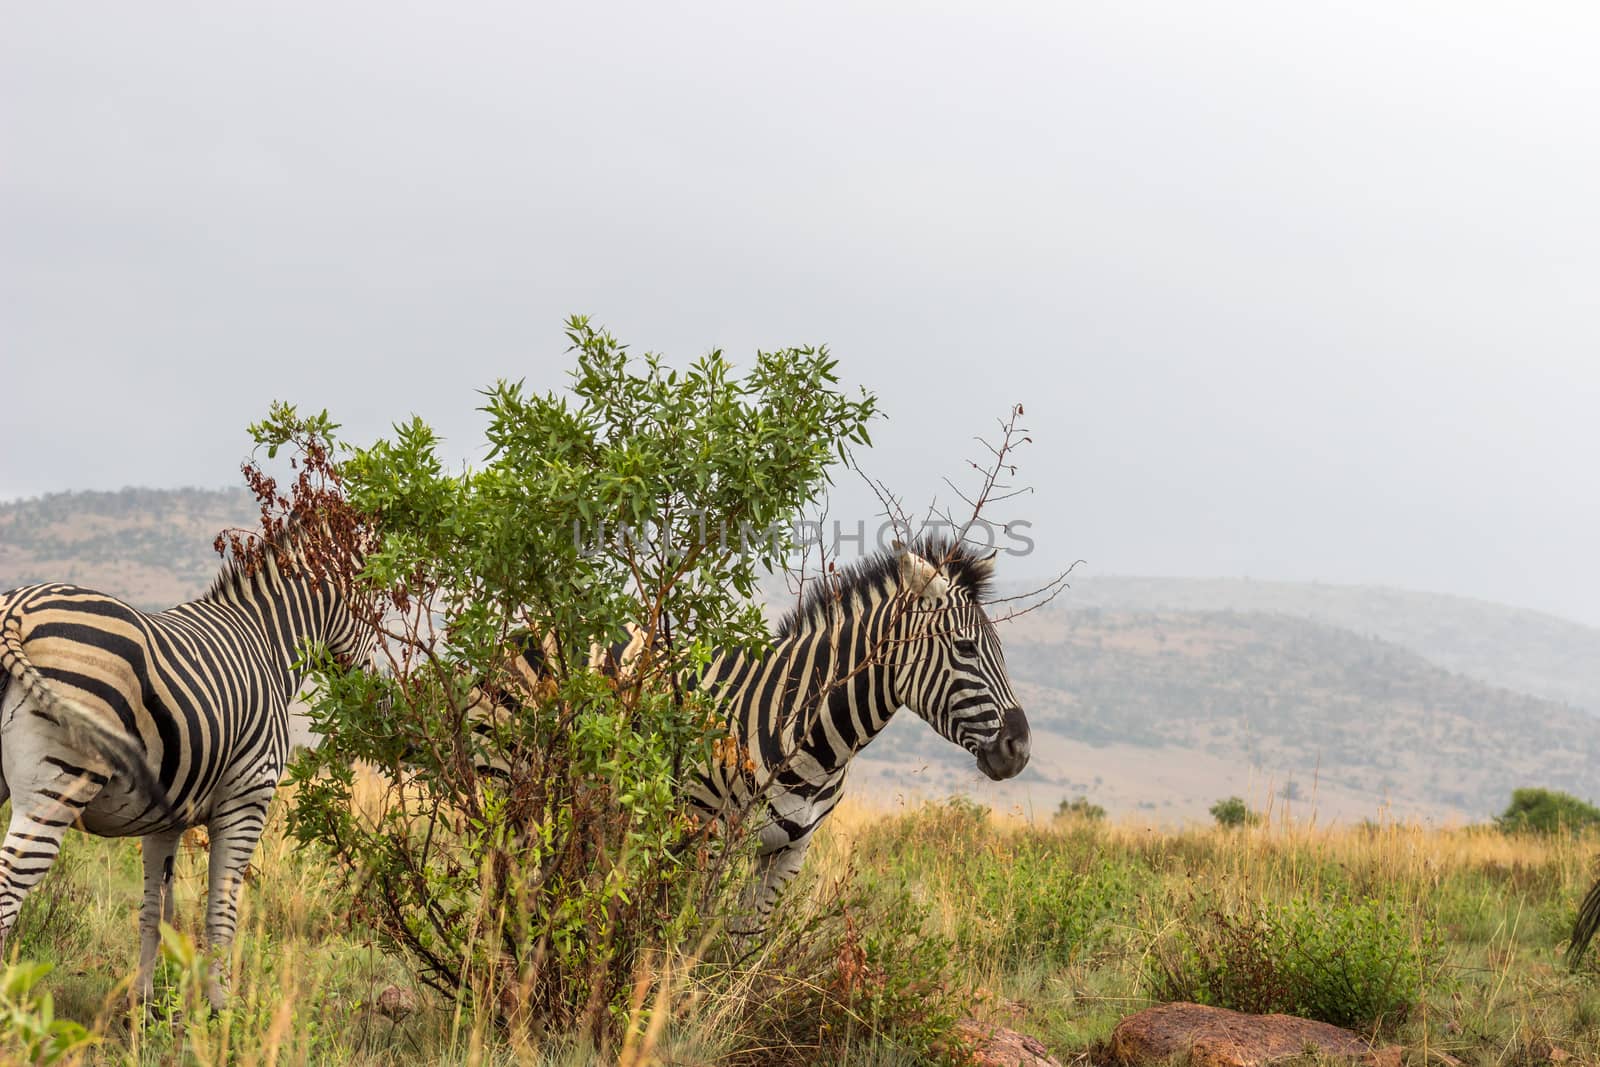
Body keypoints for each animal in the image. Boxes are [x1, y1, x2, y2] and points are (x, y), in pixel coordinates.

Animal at [0, 524, 371, 1011]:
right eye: (377, 604)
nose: (377, 690)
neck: (267, 644)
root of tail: (17, 609)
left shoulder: (163, 818)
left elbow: (155, 911)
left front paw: (144, 1001)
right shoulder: (247, 801)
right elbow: (221, 911)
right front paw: (221, 1006)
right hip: (56, 786)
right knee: (9, 886)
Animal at [457, 537, 1030, 927]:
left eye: (1002, 649)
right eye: (965, 648)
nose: (1020, 748)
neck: (812, 741)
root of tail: (523, 631)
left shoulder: (787, 854)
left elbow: (739, 942)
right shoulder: (701, 836)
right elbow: (675, 941)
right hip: (505, 783)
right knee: (500, 881)